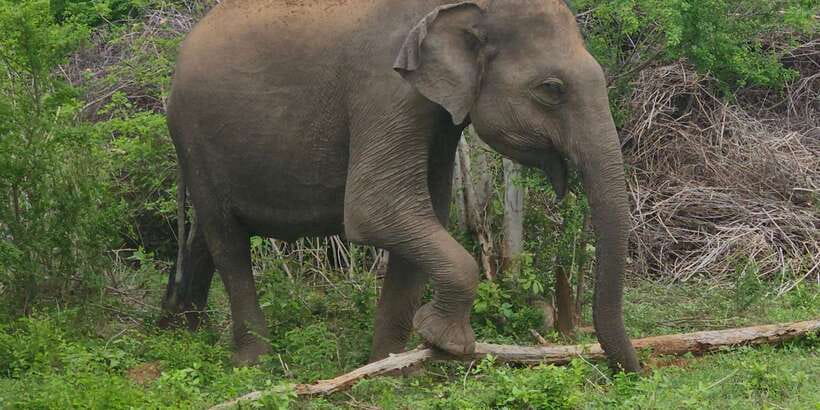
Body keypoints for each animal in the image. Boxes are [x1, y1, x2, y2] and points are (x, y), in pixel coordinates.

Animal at [160, 0, 641, 372]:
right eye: (551, 88)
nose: (632, 371)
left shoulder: (436, 116)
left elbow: (425, 216)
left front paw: (389, 371)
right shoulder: (385, 89)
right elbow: (377, 209)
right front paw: (446, 343)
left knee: (205, 236)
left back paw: (181, 331)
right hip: (192, 135)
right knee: (227, 240)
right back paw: (252, 364)